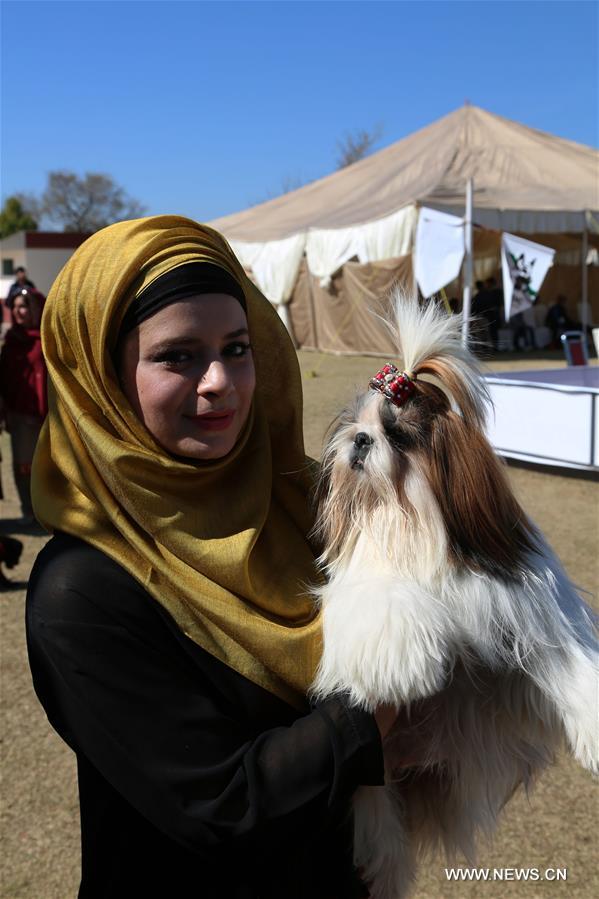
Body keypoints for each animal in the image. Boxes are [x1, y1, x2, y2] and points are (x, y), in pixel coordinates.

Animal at [312, 294, 596, 899]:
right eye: (355, 426)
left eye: (397, 435)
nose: (359, 441)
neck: (413, 524)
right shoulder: (372, 578)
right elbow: (385, 601)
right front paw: (400, 663)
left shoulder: (528, 609)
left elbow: (571, 662)